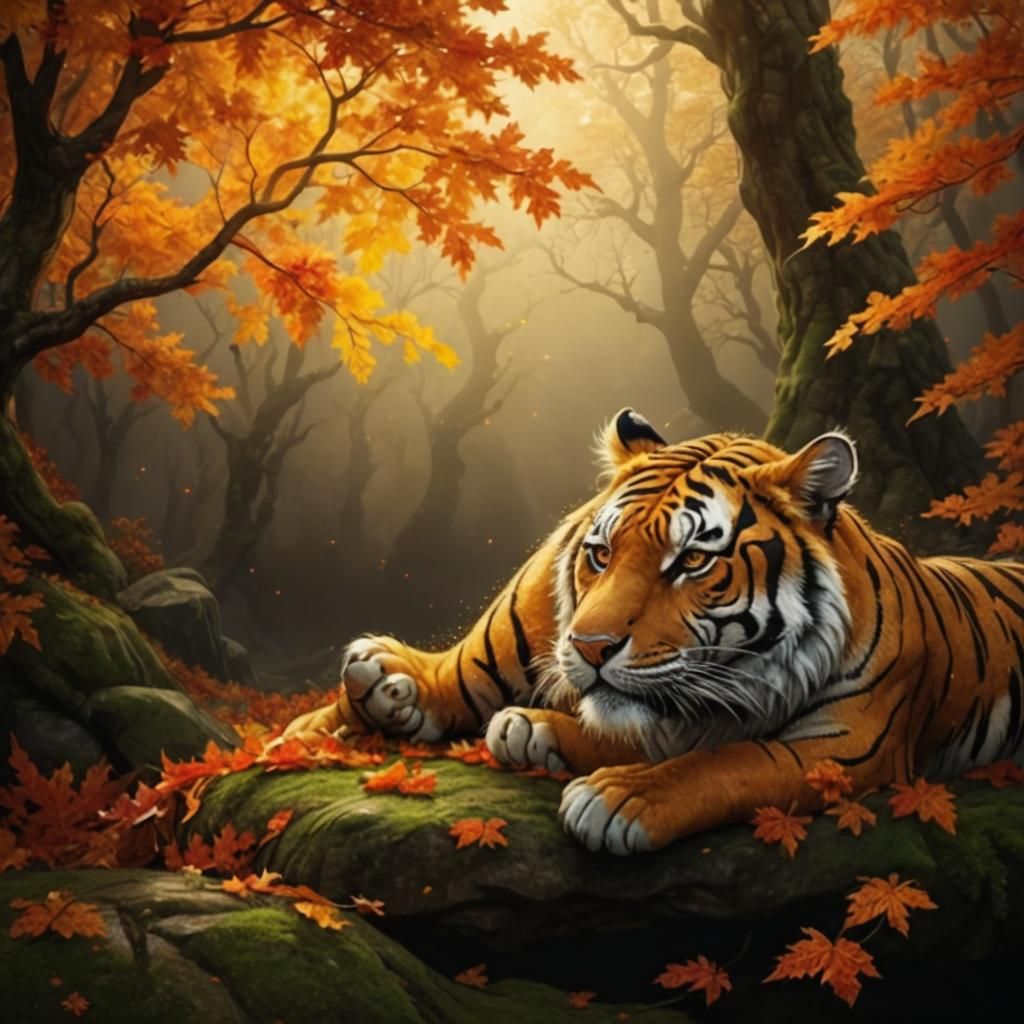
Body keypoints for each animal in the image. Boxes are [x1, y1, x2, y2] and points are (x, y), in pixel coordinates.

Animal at [285, 408, 1024, 855]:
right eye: (601, 554)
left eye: (692, 560)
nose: (589, 647)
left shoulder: (842, 748)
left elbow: (730, 762)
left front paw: (621, 797)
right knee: (464, 670)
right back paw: (382, 685)